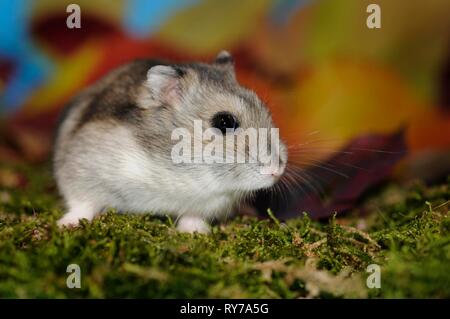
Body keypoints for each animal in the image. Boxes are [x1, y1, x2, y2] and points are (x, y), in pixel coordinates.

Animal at [51, 50, 284, 235]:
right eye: (224, 122)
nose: (276, 171)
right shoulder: (80, 167)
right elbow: (82, 203)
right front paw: (65, 225)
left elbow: (193, 217)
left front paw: (196, 234)